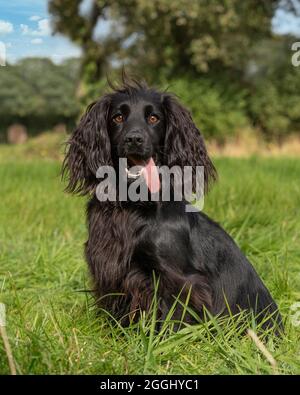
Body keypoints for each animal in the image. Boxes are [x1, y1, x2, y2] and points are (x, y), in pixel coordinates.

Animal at [62, 79, 282, 332]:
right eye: (118, 117)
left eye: (153, 118)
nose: (134, 139)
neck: (133, 205)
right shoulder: (109, 268)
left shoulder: (178, 279)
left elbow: (173, 318)